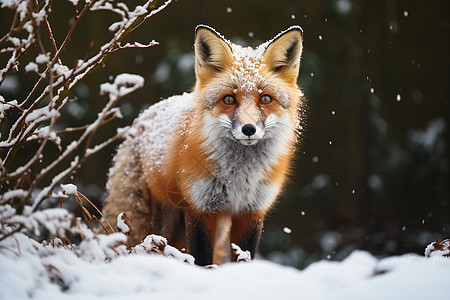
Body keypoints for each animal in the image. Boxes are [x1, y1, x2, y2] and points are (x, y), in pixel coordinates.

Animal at [102, 25, 304, 264]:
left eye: (265, 99)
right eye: (229, 99)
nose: (248, 129)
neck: (240, 177)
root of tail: (142, 118)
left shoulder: (251, 212)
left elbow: (244, 256)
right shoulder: (199, 208)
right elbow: (201, 260)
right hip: (166, 216)